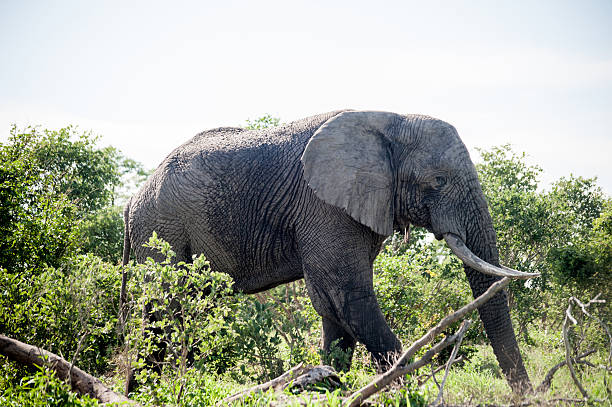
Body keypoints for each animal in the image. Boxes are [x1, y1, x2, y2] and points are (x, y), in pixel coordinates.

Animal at [123, 110, 536, 394]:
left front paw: (329, 383)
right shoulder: (324, 206)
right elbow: (348, 297)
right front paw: (397, 388)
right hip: (162, 229)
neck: (389, 122)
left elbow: (333, 306)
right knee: (165, 312)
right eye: (438, 181)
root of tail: (131, 202)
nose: (529, 396)